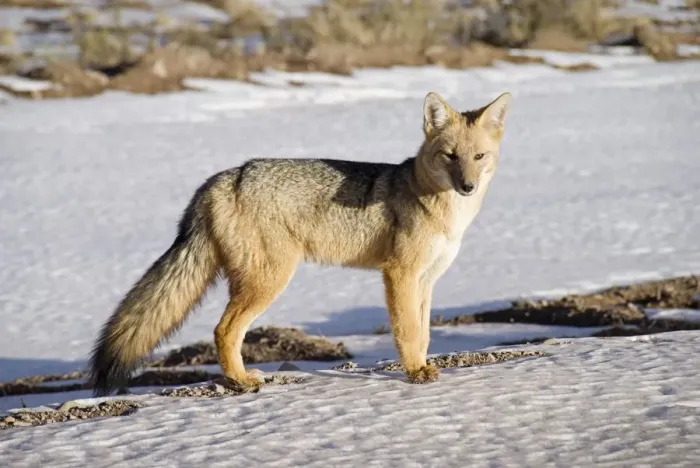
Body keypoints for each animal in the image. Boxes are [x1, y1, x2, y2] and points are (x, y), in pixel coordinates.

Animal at [88, 91, 513, 396]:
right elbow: (407, 331)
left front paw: (422, 366)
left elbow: (423, 332)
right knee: (223, 331)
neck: (444, 213)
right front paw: (412, 373)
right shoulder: (399, 274)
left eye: (478, 156)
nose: (467, 186)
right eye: (450, 156)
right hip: (269, 280)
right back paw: (241, 381)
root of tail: (226, 176)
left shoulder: (425, 280)